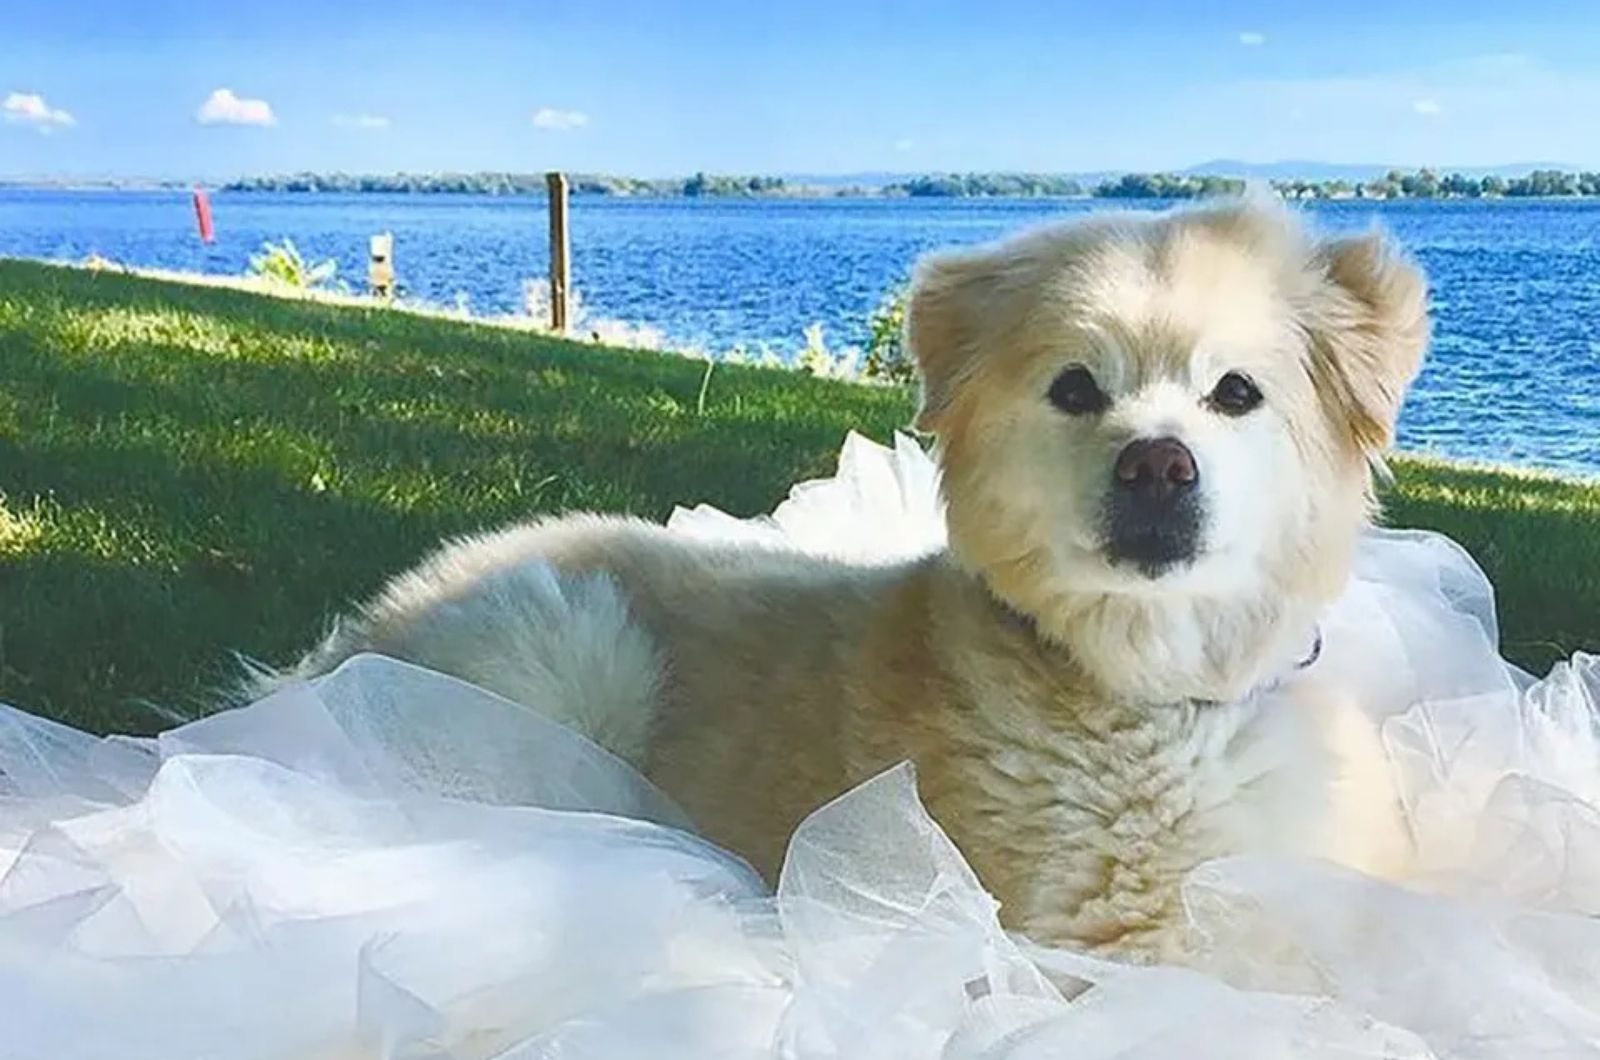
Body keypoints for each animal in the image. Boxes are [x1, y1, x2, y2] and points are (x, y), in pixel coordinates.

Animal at [268, 196, 1433, 960]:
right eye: (1074, 388)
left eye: (1235, 393)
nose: (1155, 463)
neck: (1156, 694)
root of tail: (340, 649)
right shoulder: (1104, 947)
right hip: (565, 641)